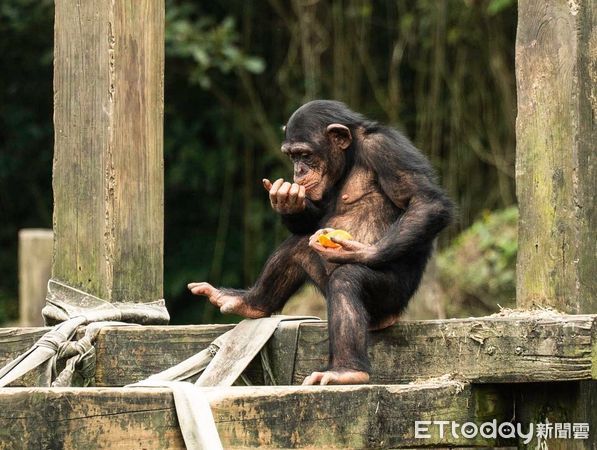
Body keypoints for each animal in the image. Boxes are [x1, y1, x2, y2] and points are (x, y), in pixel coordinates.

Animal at [189, 100, 454, 384]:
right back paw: (250, 303)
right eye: (292, 156)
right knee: (297, 246)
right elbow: (314, 219)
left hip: (391, 298)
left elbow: (425, 201)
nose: (298, 171)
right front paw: (287, 200)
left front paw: (359, 252)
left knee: (346, 281)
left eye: (305, 155)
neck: (351, 157)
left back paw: (346, 371)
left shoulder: (387, 149)